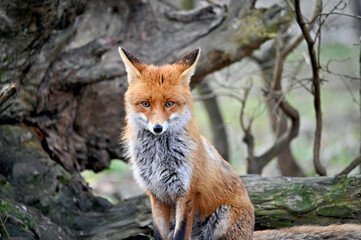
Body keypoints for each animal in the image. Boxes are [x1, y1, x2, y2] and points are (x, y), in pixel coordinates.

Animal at [118, 47, 253, 240]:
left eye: (169, 104)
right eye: (145, 104)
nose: (157, 128)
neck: (158, 157)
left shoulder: (187, 193)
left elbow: (180, 233)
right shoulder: (156, 194)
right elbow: (158, 234)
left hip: (223, 216)